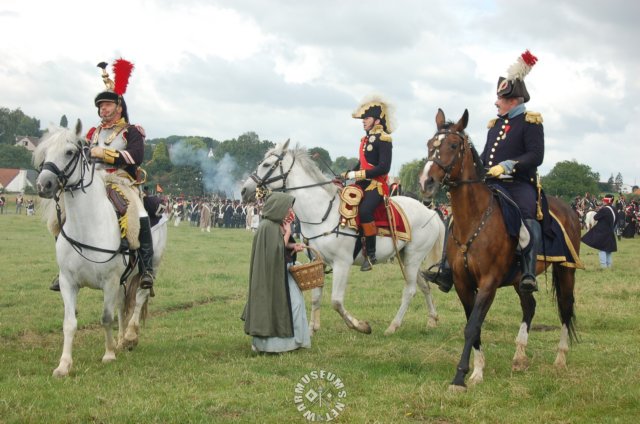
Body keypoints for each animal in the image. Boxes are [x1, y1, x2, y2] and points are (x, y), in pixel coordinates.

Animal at [422, 108, 584, 390]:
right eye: (430, 144)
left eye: (452, 145)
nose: (426, 182)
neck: (474, 219)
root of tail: (568, 209)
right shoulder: (463, 283)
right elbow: (472, 324)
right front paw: (477, 369)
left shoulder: (489, 282)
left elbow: (473, 325)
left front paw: (460, 377)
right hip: (521, 279)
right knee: (529, 306)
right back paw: (519, 356)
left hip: (566, 269)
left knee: (565, 306)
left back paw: (560, 358)